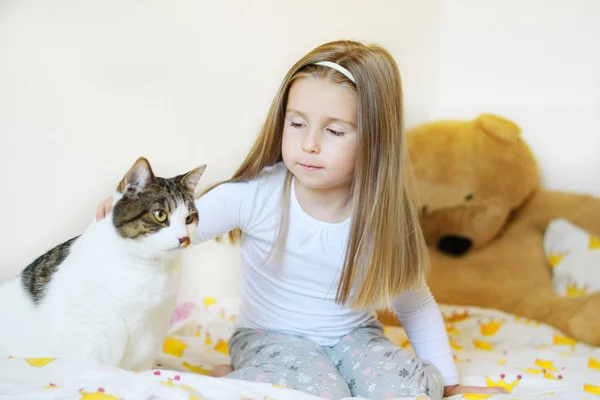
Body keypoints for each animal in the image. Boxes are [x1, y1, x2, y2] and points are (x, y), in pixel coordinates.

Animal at [0, 157, 206, 372]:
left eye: (189, 218)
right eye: (160, 214)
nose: (184, 238)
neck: (145, 268)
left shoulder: (151, 332)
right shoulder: (90, 330)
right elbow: (95, 368)